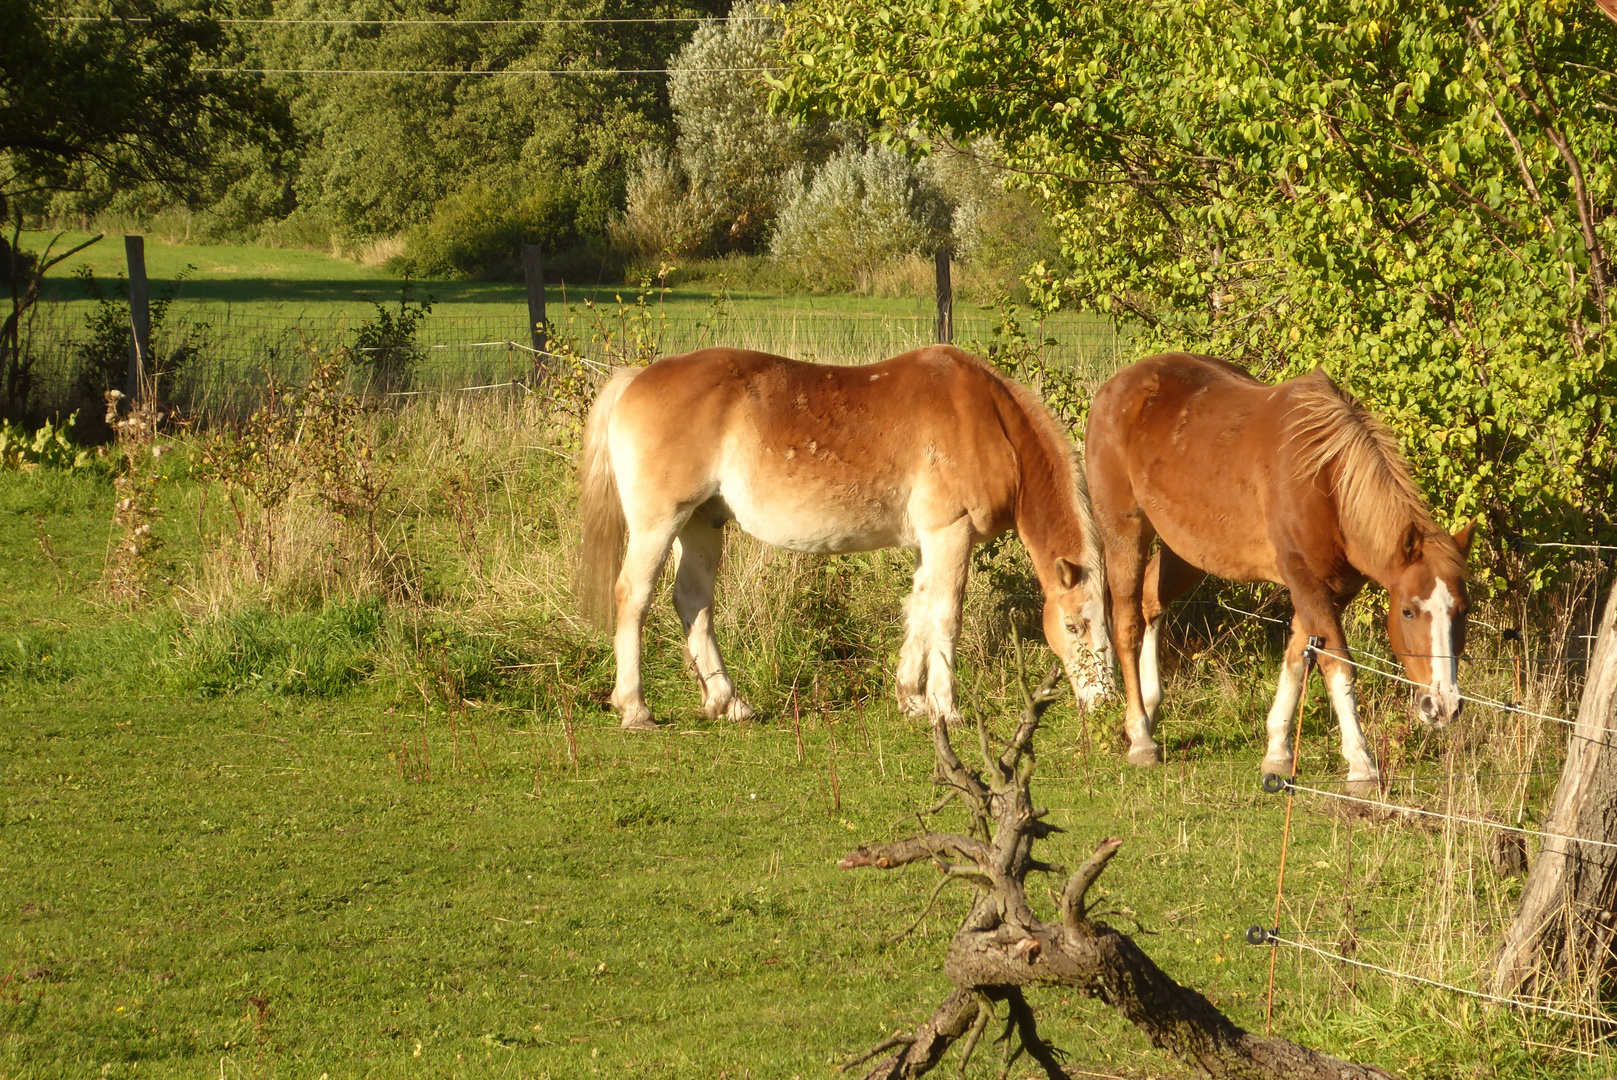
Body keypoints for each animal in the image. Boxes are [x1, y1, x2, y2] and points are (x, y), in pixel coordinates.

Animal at [572, 344, 1112, 734]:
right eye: (1075, 626)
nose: (1104, 701)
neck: (988, 417)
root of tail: (635, 379)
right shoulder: (950, 533)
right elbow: (945, 617)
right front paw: (946, 708)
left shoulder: (929, 543)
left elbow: (918, 611)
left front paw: (911, 699)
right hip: (658, 524)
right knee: (634, 598)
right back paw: (636, 708)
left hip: (702, 524)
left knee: (693, 602)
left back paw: (728, 703)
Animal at [1093, 354, 1474, 792]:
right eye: (1408, 611)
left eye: (1463, 611)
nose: (1443, 705)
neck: (1325, 481)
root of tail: (1116, 387)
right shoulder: (1306, 582)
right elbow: (1337, 665)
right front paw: (1361, 764)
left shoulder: (1331, 591)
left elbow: (1298, 657)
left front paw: (1277, 751)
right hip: (1124, 532)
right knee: (1126, 623)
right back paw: (1140, 737)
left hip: (1185, 551)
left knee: (1150, 604)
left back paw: (1150, 709)